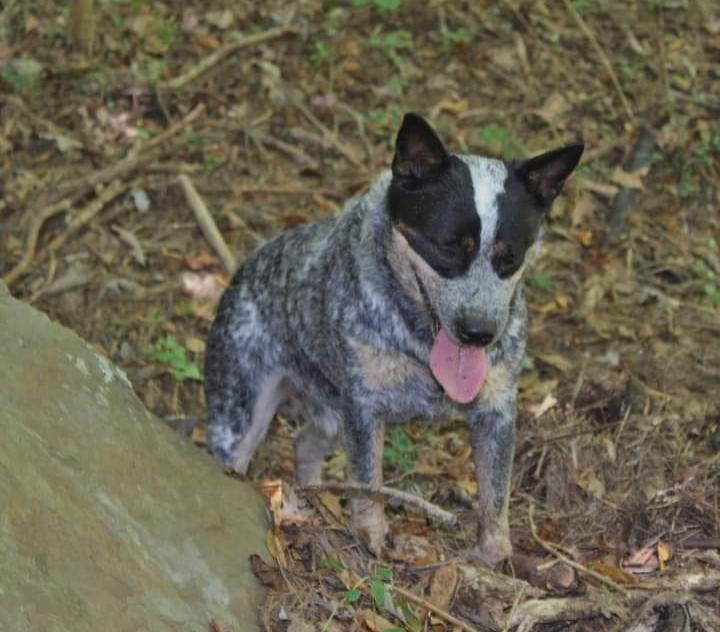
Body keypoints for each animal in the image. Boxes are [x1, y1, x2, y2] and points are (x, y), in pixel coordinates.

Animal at [204, 113, 583, 564]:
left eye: (509, 257)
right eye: (448, 246)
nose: (478, 333)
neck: (419, 344)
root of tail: (242, 270)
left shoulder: (497, 409)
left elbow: (496, 493)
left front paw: (495, 554)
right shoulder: (364, 405)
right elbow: (369, 481)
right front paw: (371, 536)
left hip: (331, 413)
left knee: (306, 441)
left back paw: (314, 500)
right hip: (241, 408)